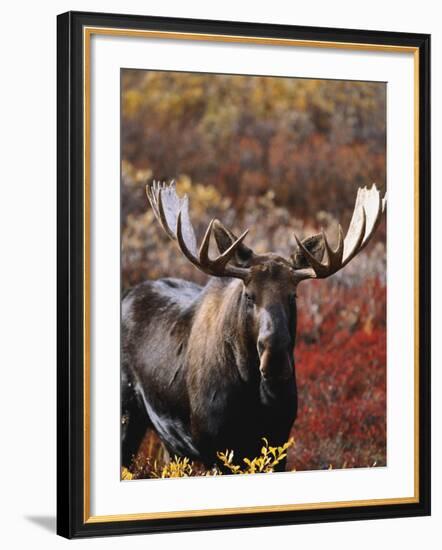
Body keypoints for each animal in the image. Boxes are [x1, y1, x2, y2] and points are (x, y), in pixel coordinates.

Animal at [121, 182, 386, 474]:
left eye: (293, 295)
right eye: (249, 295)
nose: (276, 360)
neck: (252, 395)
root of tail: (127, 293)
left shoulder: (279, 441)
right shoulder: (214, 447)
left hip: (171, 444)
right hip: (128, 415)